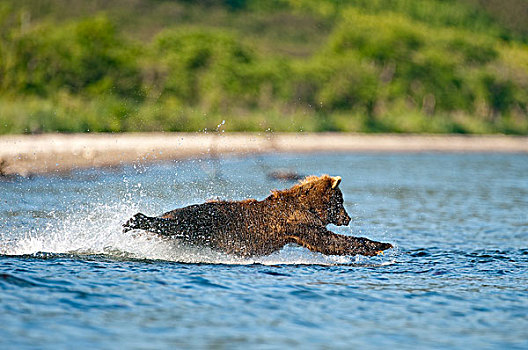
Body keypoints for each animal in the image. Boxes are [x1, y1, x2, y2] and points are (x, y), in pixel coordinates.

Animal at [122, 175, 392, 258]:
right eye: (341, 201)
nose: (348, 218)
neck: (308, 207)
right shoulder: (298, 223)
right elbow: (327, 241)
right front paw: (381, 245)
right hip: (197, 222)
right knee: (170, 223)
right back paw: (134, 220)